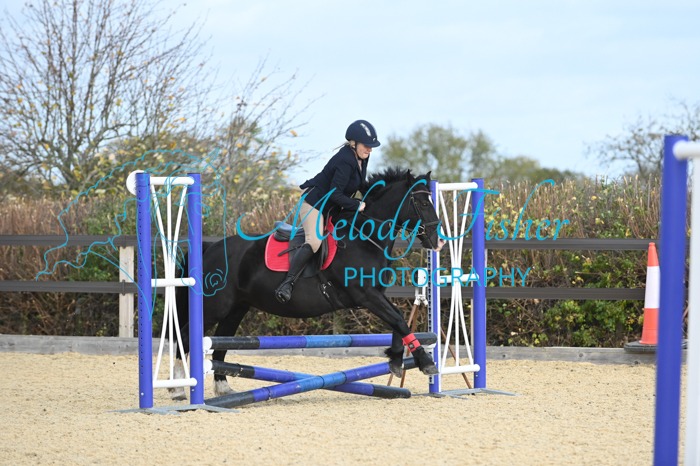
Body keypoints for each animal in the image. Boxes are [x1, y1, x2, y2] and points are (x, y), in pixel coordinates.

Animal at [172, 167, 445, 399]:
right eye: (422, 203)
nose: (438, 241)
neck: (364, 238)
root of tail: (211, 248)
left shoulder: (377, 294)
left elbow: (399, 321)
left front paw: (397, 360)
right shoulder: (366, 295)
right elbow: (398, 319)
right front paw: (426, 363)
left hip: (236, 309)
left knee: (219, 343)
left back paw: (223, 389)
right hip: (214, 306)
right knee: (185, 336)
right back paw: (178, 390)